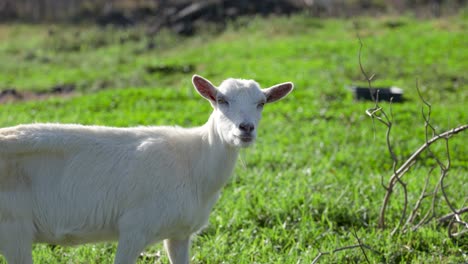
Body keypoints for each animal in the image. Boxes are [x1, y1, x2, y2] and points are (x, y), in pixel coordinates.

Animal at [0, 75, 292, 264]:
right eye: (221, 100)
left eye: (261, 103)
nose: (246, 128)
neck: (193, 161)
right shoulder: (134, 228)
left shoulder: (179, 234)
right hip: (13, 228)